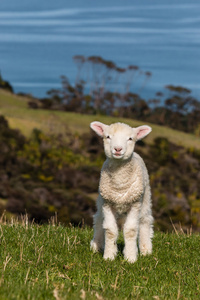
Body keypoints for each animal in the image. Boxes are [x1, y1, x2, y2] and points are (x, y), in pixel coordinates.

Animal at [90, 120, 154, 262]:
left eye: (130, 138)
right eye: (108, 137)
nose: (118, 149)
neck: (120, 185)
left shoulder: (135, 204)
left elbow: (130, 230)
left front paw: (130, 257)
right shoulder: (107, 203)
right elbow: (110, 230)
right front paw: (109, 256)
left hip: (145, 198)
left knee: (145, 220)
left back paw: (146, 249)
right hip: (101, 200)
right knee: (99, 218)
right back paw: (96, 245)